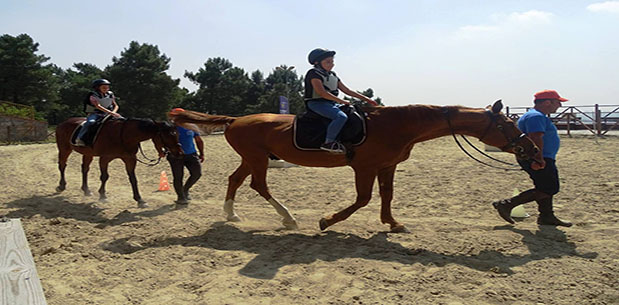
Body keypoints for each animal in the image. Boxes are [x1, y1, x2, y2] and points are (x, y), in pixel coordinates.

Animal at [55, 116, 183, 207]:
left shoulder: (130, 159)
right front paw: (103, 195)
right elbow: (104, 176)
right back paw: (61, 186)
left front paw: (140, 200)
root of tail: (62, 123)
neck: (123, 135)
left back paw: (86, 190)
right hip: (64, 149)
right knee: (62, 166)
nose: (179, 153)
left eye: (177, 134)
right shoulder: (104, 158)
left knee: (84, 169)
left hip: (88, 154)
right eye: (167, 135)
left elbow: (133, 179)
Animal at [171, 100, 544, 230]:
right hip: (259, 159)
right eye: (508, 124)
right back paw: (288, 218)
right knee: (257, 185)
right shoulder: (364, 168)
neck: (395, 125)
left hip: (252, 158)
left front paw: (392, 223)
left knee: (235, 180)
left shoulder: (386, 167)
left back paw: (231, 215)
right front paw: (326, 221)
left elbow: (386, 197)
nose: (534, 152)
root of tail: (235, 120)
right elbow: (363, 199)